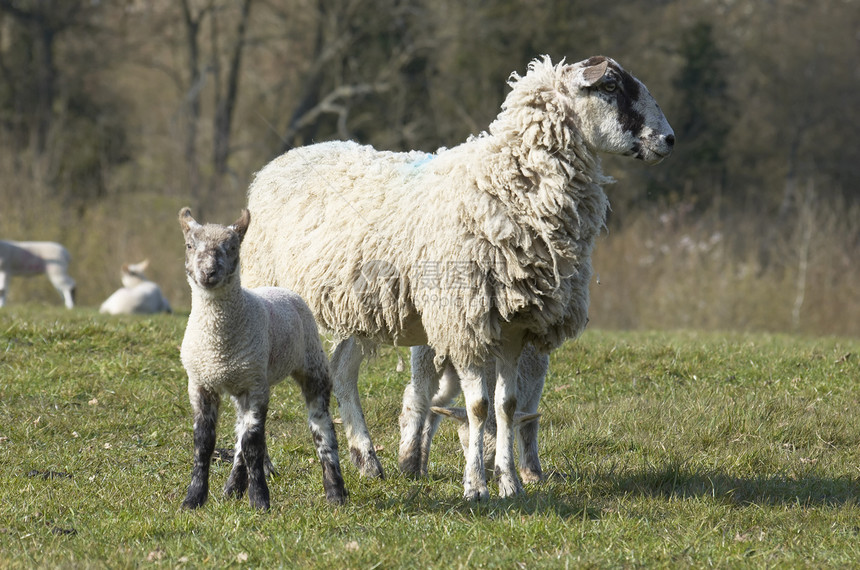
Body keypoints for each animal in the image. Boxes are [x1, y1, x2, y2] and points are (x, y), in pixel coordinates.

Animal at [178, 206, 346, 508]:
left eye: (233, 247)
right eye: (189, 245)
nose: (208, 273)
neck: (218, 346)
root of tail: (280, 288)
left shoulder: (255, 386)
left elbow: (253, 445)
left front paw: (259, 500)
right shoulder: (200, 383)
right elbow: (204, 443)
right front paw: (193, 499)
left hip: (311, 363)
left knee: (322, 426)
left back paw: (335, 492)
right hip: (242, 381)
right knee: (238, 436)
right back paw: (233, 488)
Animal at [240, 53, 672, 496]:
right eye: (610, 87)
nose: (669, 139)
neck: (505, 185)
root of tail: (279, 163)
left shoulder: (514, 326)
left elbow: (506, 406)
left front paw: (510, 484)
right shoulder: (465, 321)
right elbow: (478, 407)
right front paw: (476, 485)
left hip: (358, 310)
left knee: (342, 371)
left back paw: (367, 460)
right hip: (267, 297)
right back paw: (263, 464)